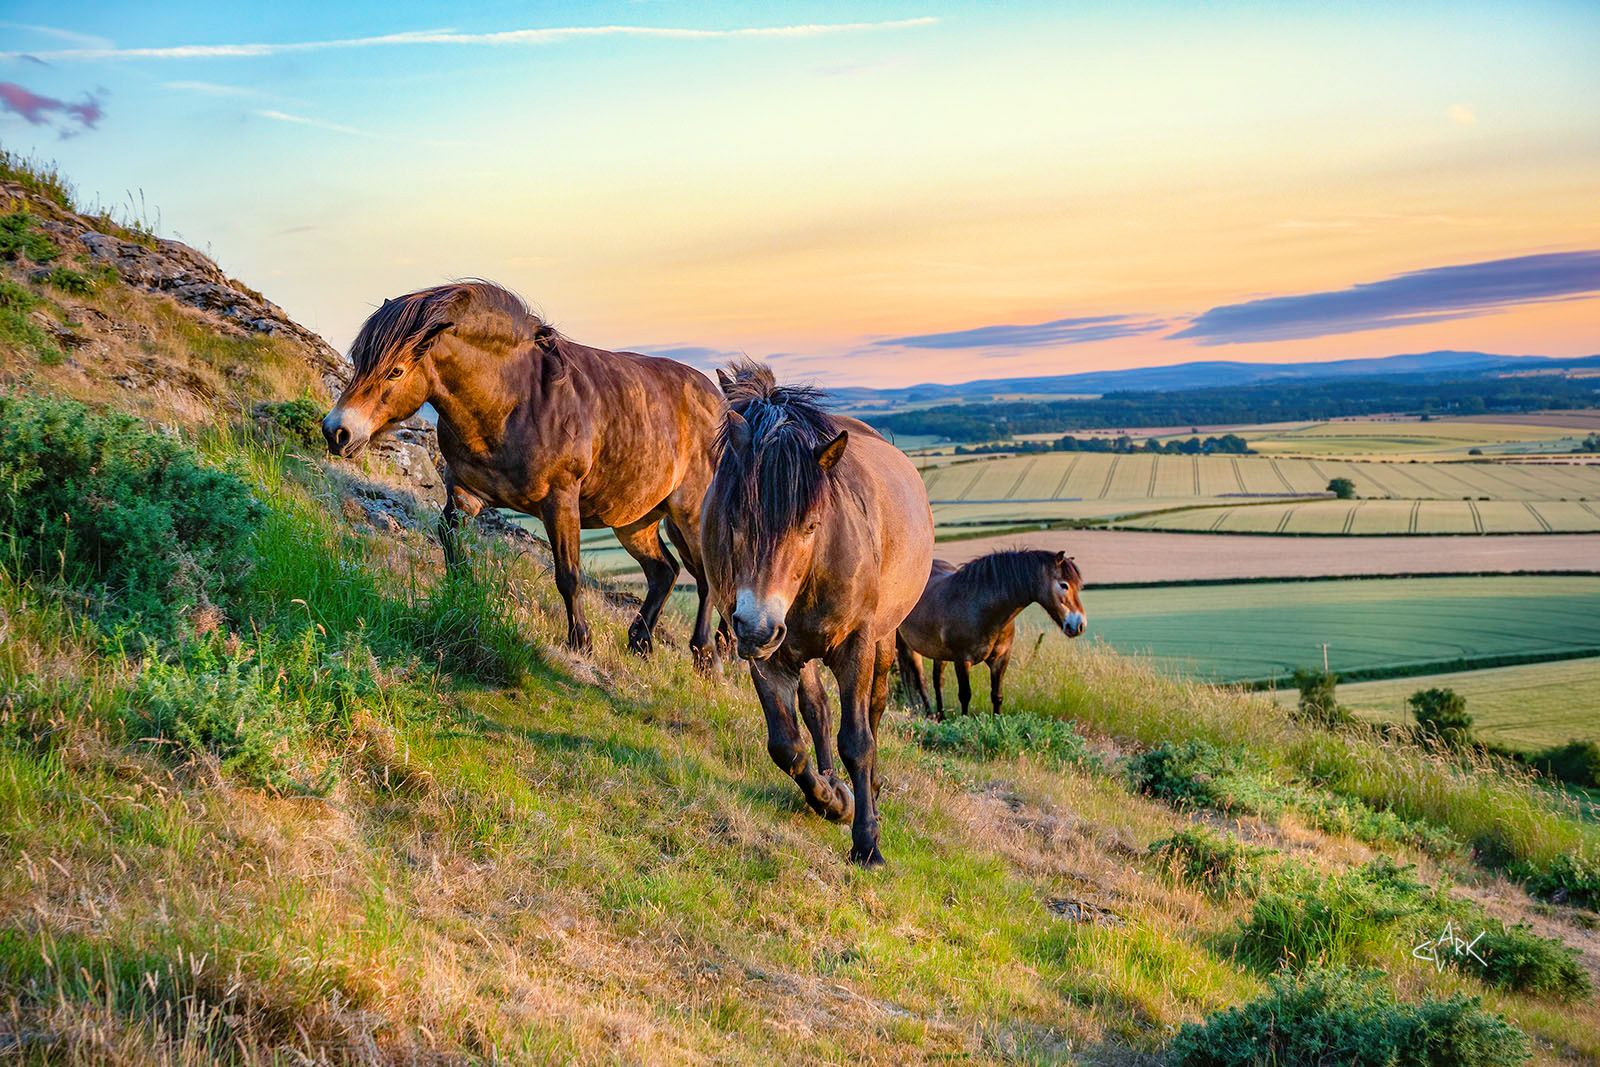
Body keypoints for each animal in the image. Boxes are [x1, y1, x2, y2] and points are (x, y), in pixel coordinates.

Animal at [321, 280, 723, 662]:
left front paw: (581, 642)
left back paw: (704, 653)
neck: (514, 401)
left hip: (689, 513)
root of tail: (718, 403)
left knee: (707, 580)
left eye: (396, 371)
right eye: (358, 358)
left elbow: (568, 575)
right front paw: (462, 592)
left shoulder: (560, 500)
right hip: (634, 520)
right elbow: (449, 540)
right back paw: (640, 642)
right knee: (664, 572)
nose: (337, 431)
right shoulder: (465, 493)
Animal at [700, 361, 934, 867]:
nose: (757, 626)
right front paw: (832, 799)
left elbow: (858, 741)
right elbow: (787, 744)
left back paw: (872, 792)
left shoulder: (856, 644)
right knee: (818, 711)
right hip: (792, 646)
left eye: (809, 525)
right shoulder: (768, 655)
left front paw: (867, 842)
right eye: (735, 517)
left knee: (873, 711)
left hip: (882, 642)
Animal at [896, 549, 1086, 719]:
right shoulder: (962, 660)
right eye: (1064, 585)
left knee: (937, 681)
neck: (981, 607)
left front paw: (997, 723)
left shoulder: (1000, 659)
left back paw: (941, 717)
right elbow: (965, 695)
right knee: (922, 682)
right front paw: (963, 723)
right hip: (908, 647)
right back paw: (931, 715)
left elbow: (997, 696)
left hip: (938, 652)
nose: (1080, 625)